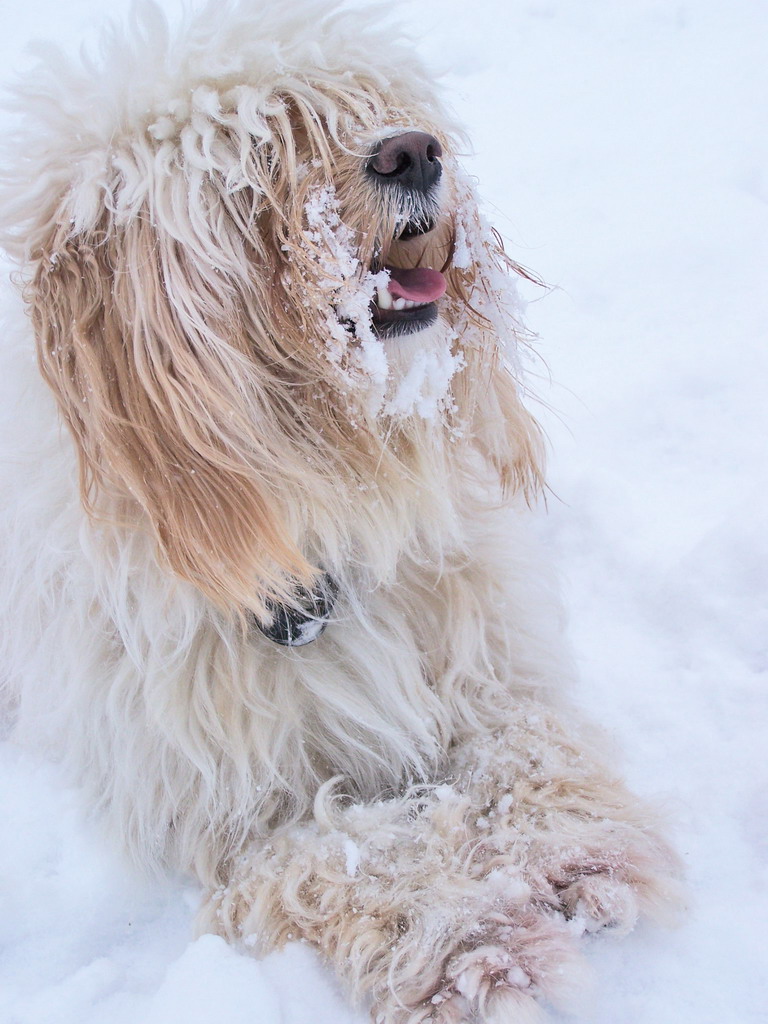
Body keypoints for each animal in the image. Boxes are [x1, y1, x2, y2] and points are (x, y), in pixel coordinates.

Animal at [0, 1, 682, 1021]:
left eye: (364, 108)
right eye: (257, 156)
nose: (413, 153)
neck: (326, 501)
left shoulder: (487, 662)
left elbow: (522, 743)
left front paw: (568, 850)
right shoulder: (239, 812)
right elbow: (352, 859)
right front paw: (470, 939)